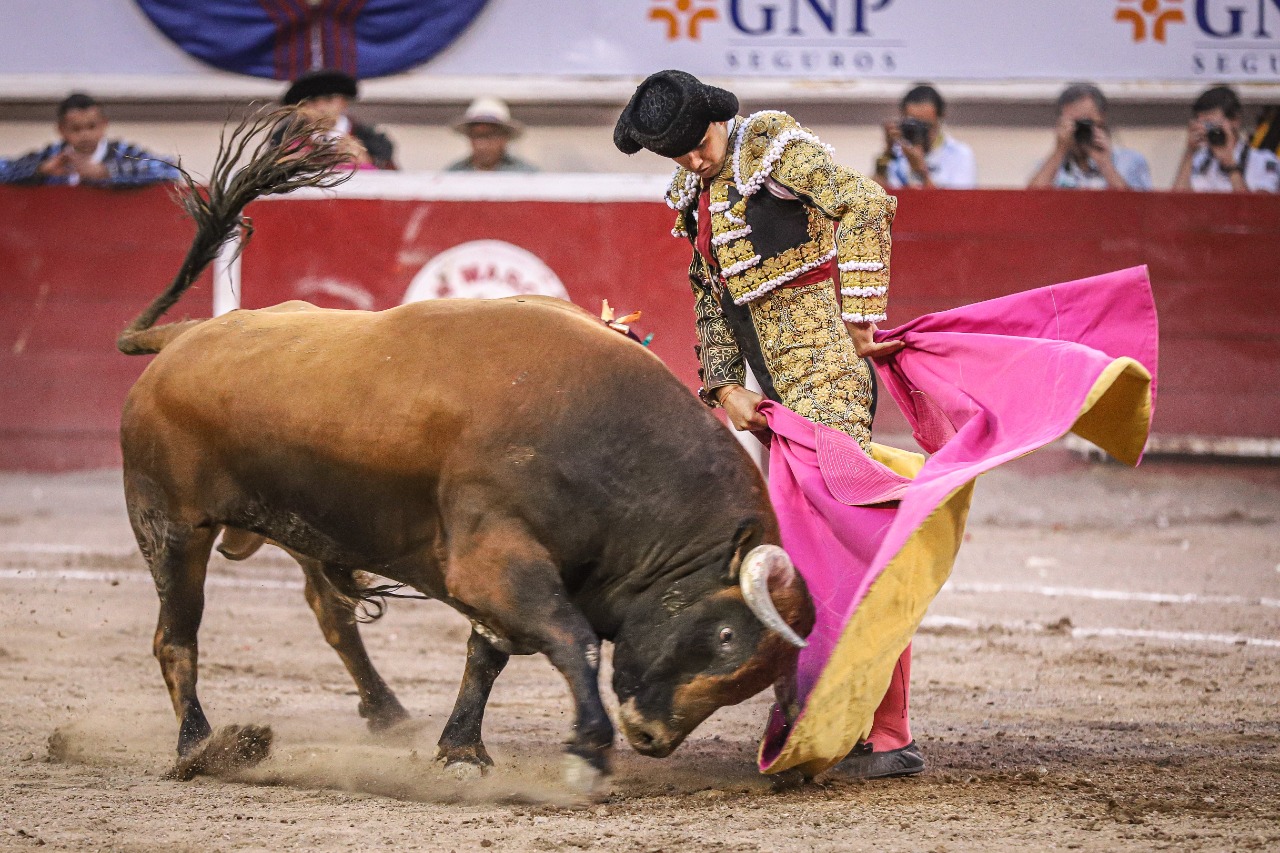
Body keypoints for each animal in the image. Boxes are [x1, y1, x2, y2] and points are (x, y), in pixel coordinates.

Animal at [122, 111, 819, 788]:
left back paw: (385, 712)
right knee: (175, 639)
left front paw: (461, 749)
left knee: (330, 612)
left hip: (305, 522)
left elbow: (487, 653)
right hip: (173, 527)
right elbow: (572, 639)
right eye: (726, 635)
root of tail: (185, 338)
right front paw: (587, 749)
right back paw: (201, 748)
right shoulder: (494, 560)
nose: (650, 737)